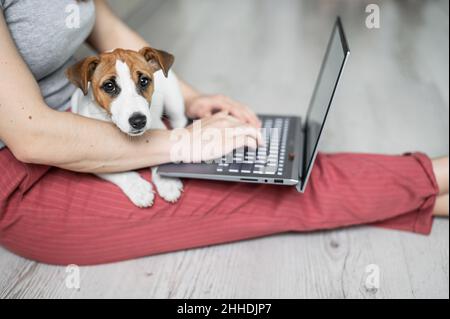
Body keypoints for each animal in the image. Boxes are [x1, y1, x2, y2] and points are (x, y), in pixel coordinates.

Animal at [66, 47, 187, 208]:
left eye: (144, 81)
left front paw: (167, 183)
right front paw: (139, 189)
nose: (139, 121)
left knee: (180, 119)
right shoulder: (91, 158)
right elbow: (119, 172)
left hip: (173, 101)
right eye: (109, 86)